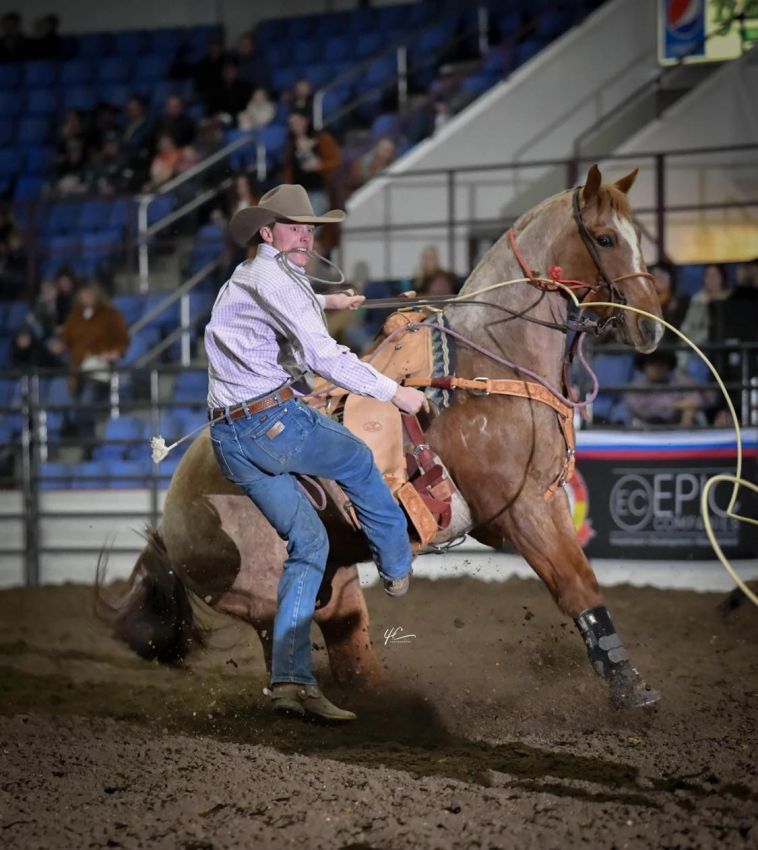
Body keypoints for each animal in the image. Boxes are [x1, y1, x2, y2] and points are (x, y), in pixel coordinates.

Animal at [102, 166, 664, 708]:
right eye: (605, 238)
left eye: (639, 235)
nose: (653, 327)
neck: (490, 364)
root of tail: (169, 518)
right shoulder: (520, 511)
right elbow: (577, 587)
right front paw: (630, 690)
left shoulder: (546, 501)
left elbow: (581, 580)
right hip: (265, 595)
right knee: (286, 646)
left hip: (336, 580)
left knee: (349, 648)